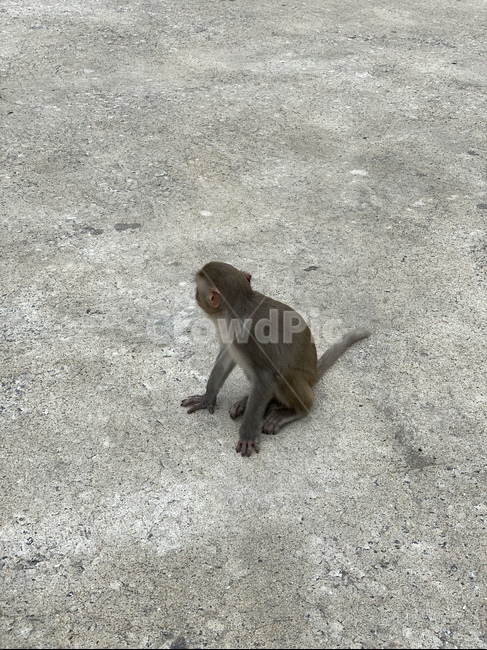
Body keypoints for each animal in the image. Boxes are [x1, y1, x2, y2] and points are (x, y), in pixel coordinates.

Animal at [181, 261, 370, 457]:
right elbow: (226, 357)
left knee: (283, 376)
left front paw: (248, 434)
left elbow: (265, 375)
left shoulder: (250, 337)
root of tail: (313, 375)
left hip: (302, 380)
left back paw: (296, 411)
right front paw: (207, 397)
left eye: (198, 288)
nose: (195, 295)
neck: (236, 310)